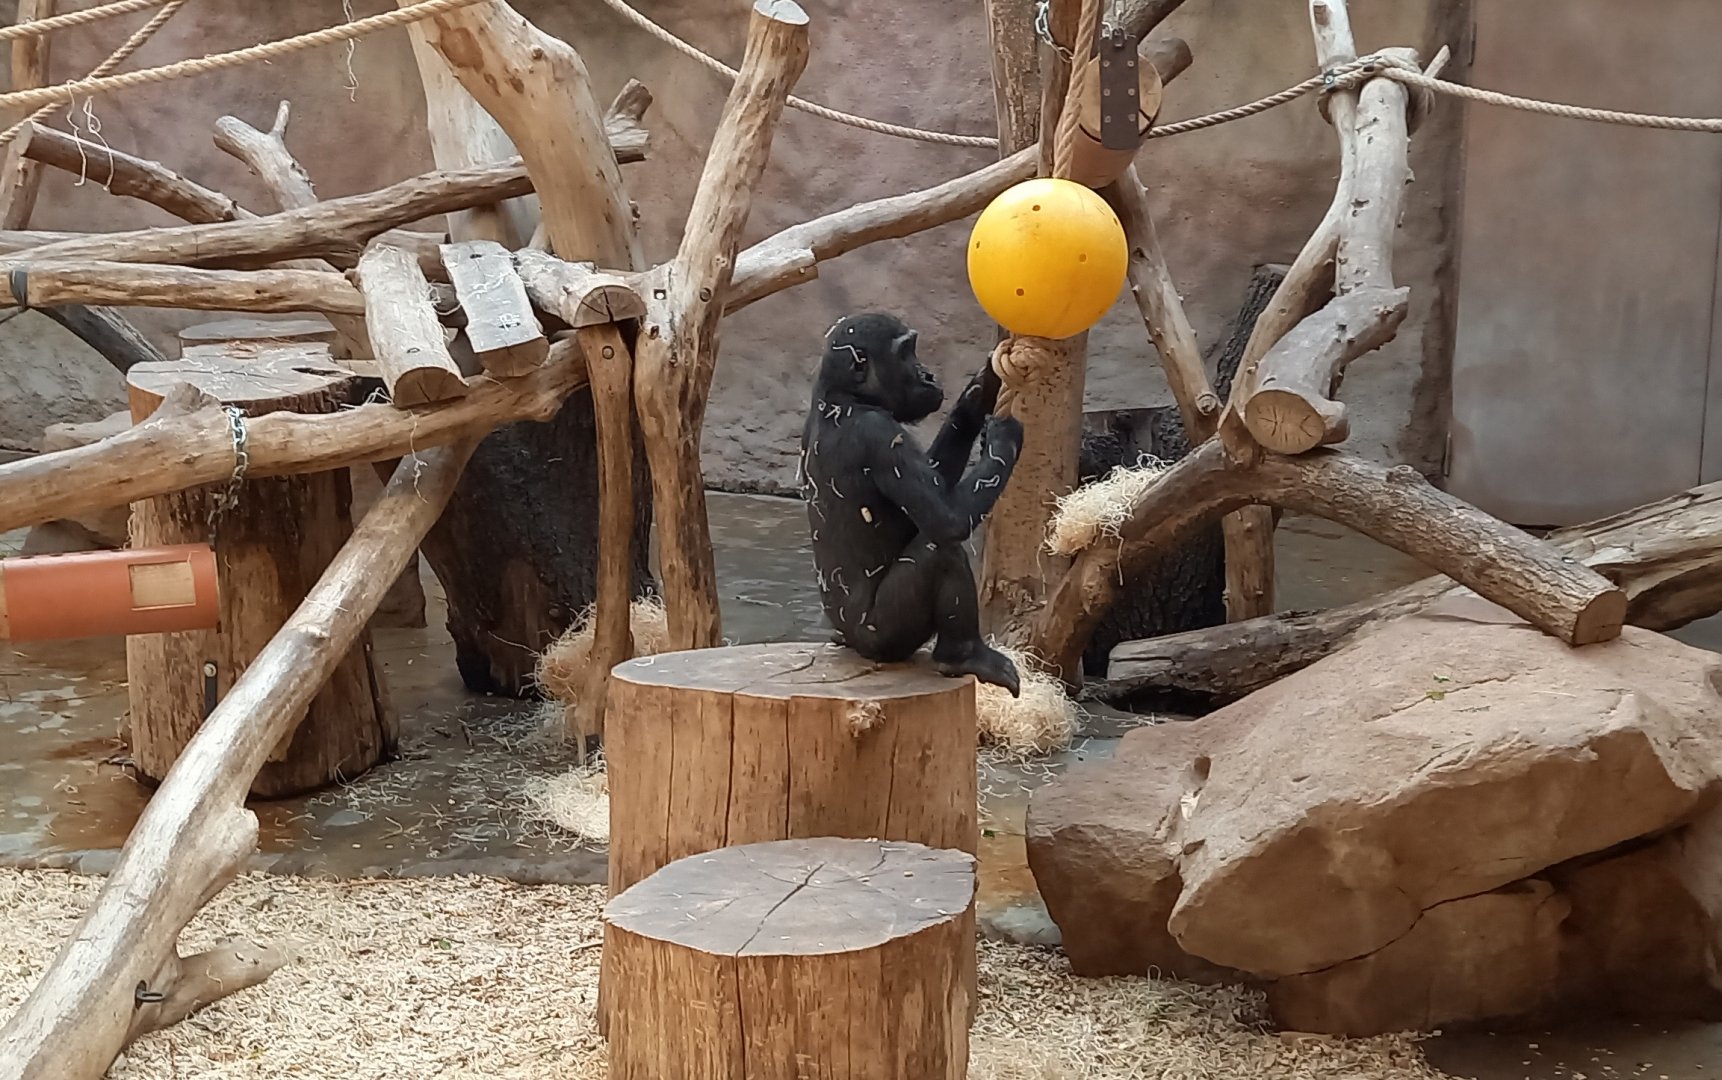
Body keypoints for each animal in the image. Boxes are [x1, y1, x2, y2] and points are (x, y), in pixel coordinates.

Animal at [798, 312, 1024, 697]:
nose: (927, 373)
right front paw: (1003, 437)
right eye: (906, 352)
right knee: (940, 550)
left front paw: (976, 396)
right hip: (882, 635)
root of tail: (851, 642)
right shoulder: (879, 434)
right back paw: (962, 655)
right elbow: (946, 519)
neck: (845, 397)